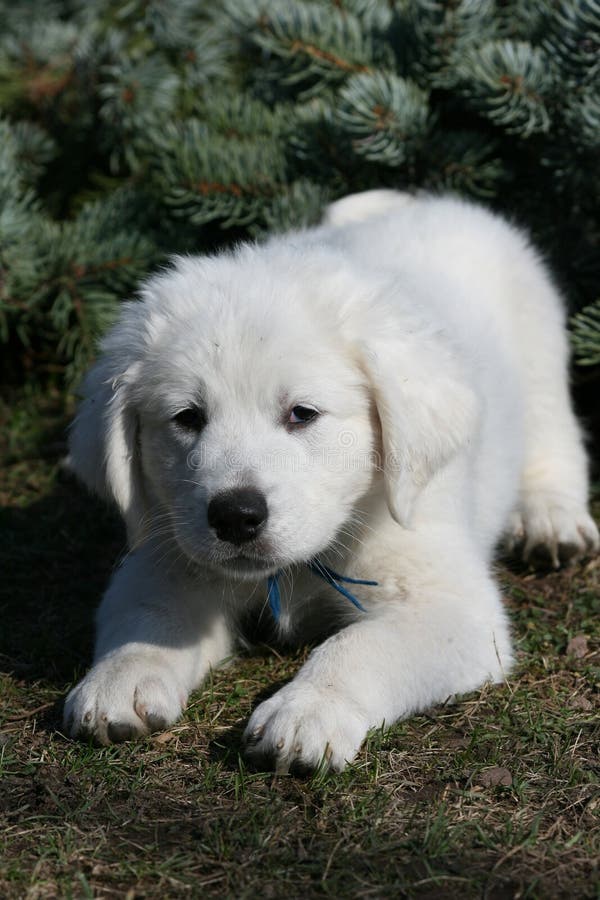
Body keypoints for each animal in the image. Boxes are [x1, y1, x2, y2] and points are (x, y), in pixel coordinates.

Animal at [63, 193, 596, 768]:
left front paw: (307, 712)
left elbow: (358, 648)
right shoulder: (168, 549)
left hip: (540, 357)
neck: (299, 568)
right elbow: (148, 613)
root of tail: (424, 200)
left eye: (303, 413)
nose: (235, 516)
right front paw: (122, 677)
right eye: (187, 417)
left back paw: (550, 520)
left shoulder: (447, 602)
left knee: (555, 440)